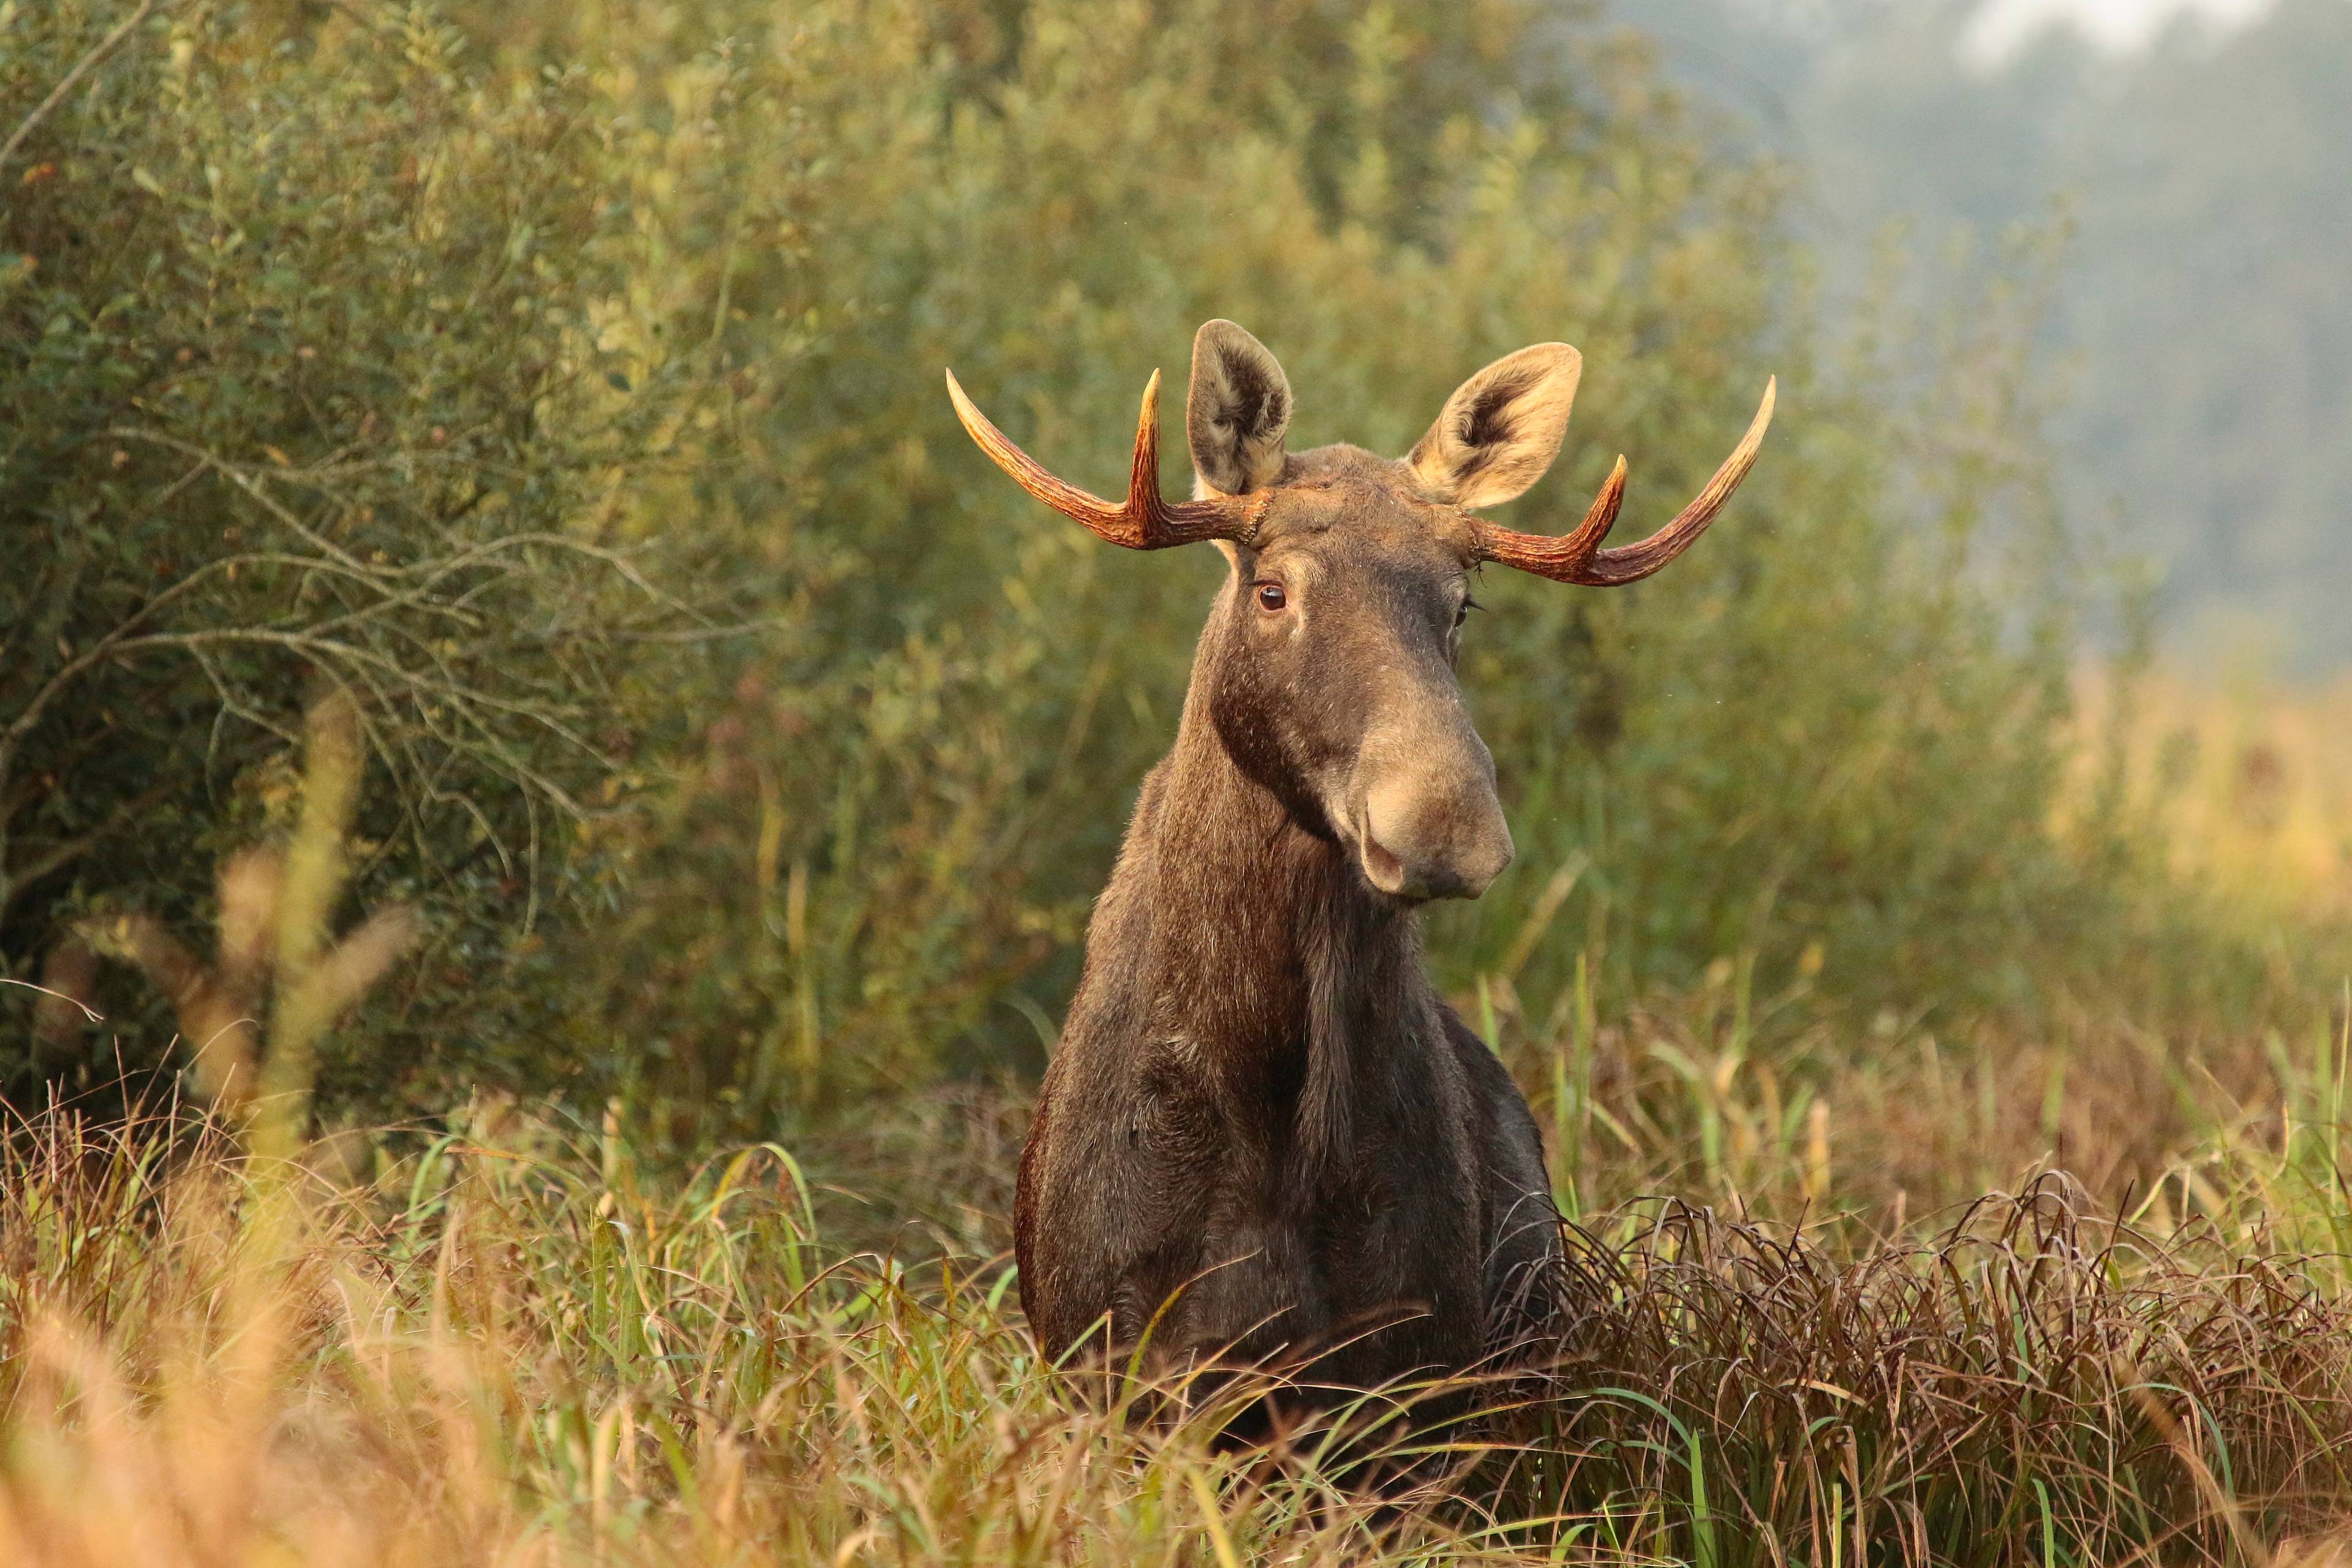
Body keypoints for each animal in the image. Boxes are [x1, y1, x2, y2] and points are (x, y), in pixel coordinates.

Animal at [936, 322, 1768, 1420]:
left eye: (1461, 607)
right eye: (1273, 589)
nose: (1447, 822)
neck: (1266, 1121)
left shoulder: (1415, 1376)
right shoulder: (1114, 1361)